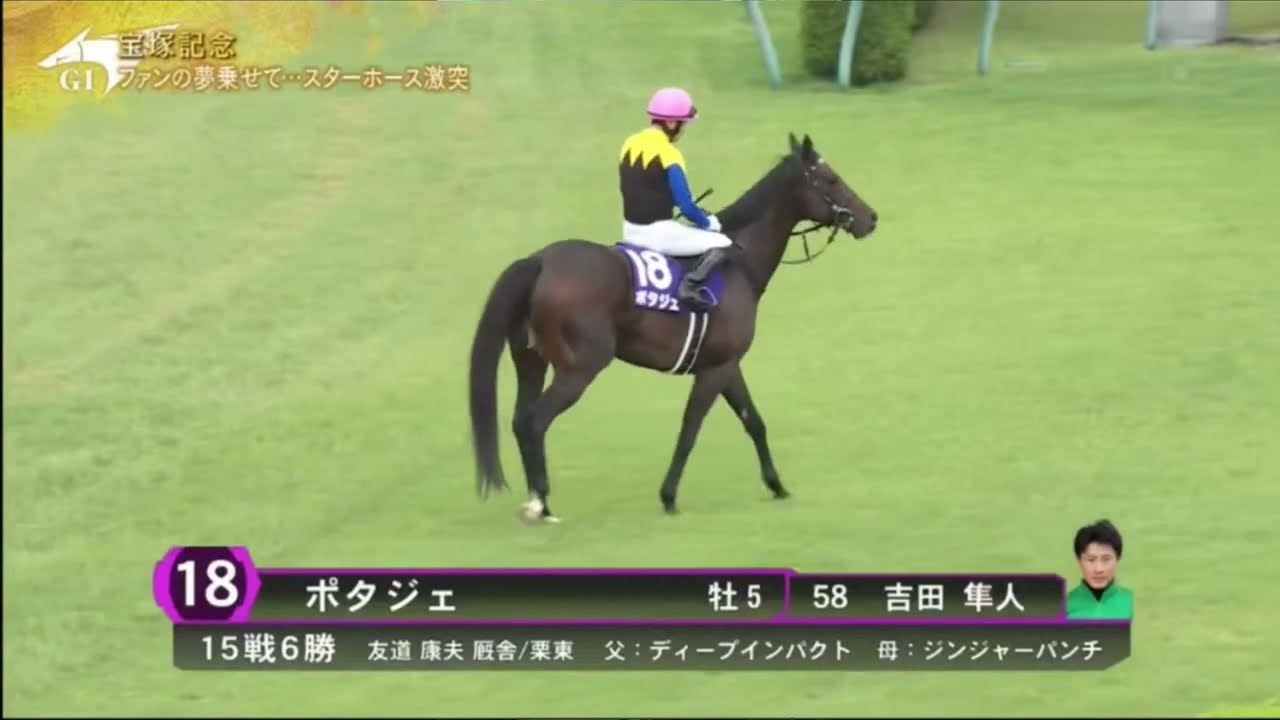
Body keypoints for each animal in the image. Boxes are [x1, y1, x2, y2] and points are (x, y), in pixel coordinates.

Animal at [468, 132, 879, 523]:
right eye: (831, 179)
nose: (870, 217)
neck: (739, 264)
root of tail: (539, 260)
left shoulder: (727, 365)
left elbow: (754, 422)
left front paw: (777, 486)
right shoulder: (716, 369)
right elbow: (690, 430)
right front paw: (668, 496)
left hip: (530, 361)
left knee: (520, 419)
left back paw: (535, 500)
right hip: (580, 368)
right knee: (536, 421)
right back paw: (541, 502)